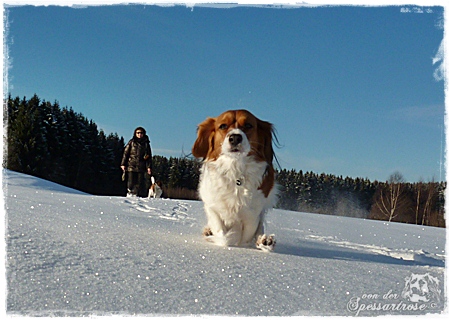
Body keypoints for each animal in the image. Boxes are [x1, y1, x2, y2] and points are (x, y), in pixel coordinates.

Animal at [191, 110, 276, 252]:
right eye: (223, 126)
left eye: (248, 125)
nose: (235, 137)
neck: (235, 168)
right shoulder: (212, 207)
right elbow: (225, 237)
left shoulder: (252, 215)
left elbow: (245, 236)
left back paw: (265, 241)